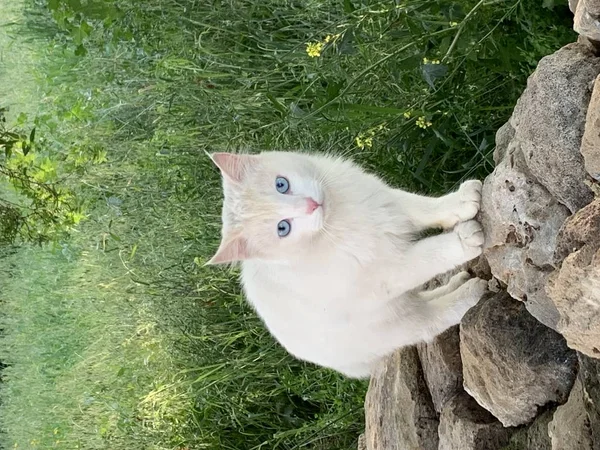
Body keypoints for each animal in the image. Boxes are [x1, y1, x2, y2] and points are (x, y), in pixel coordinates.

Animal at [206, 152, 488, 380]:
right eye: (282, 228)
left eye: (281, 185)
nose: (311, 205)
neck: (337, 217)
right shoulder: (388, 272)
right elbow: (429, 255)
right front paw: (463, 240)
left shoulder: (389, 202)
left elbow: (426, 207)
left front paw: (461, 202)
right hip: (393, 323)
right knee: (431, 319)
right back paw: (468, 293)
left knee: (426, 298)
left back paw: (457, 283)